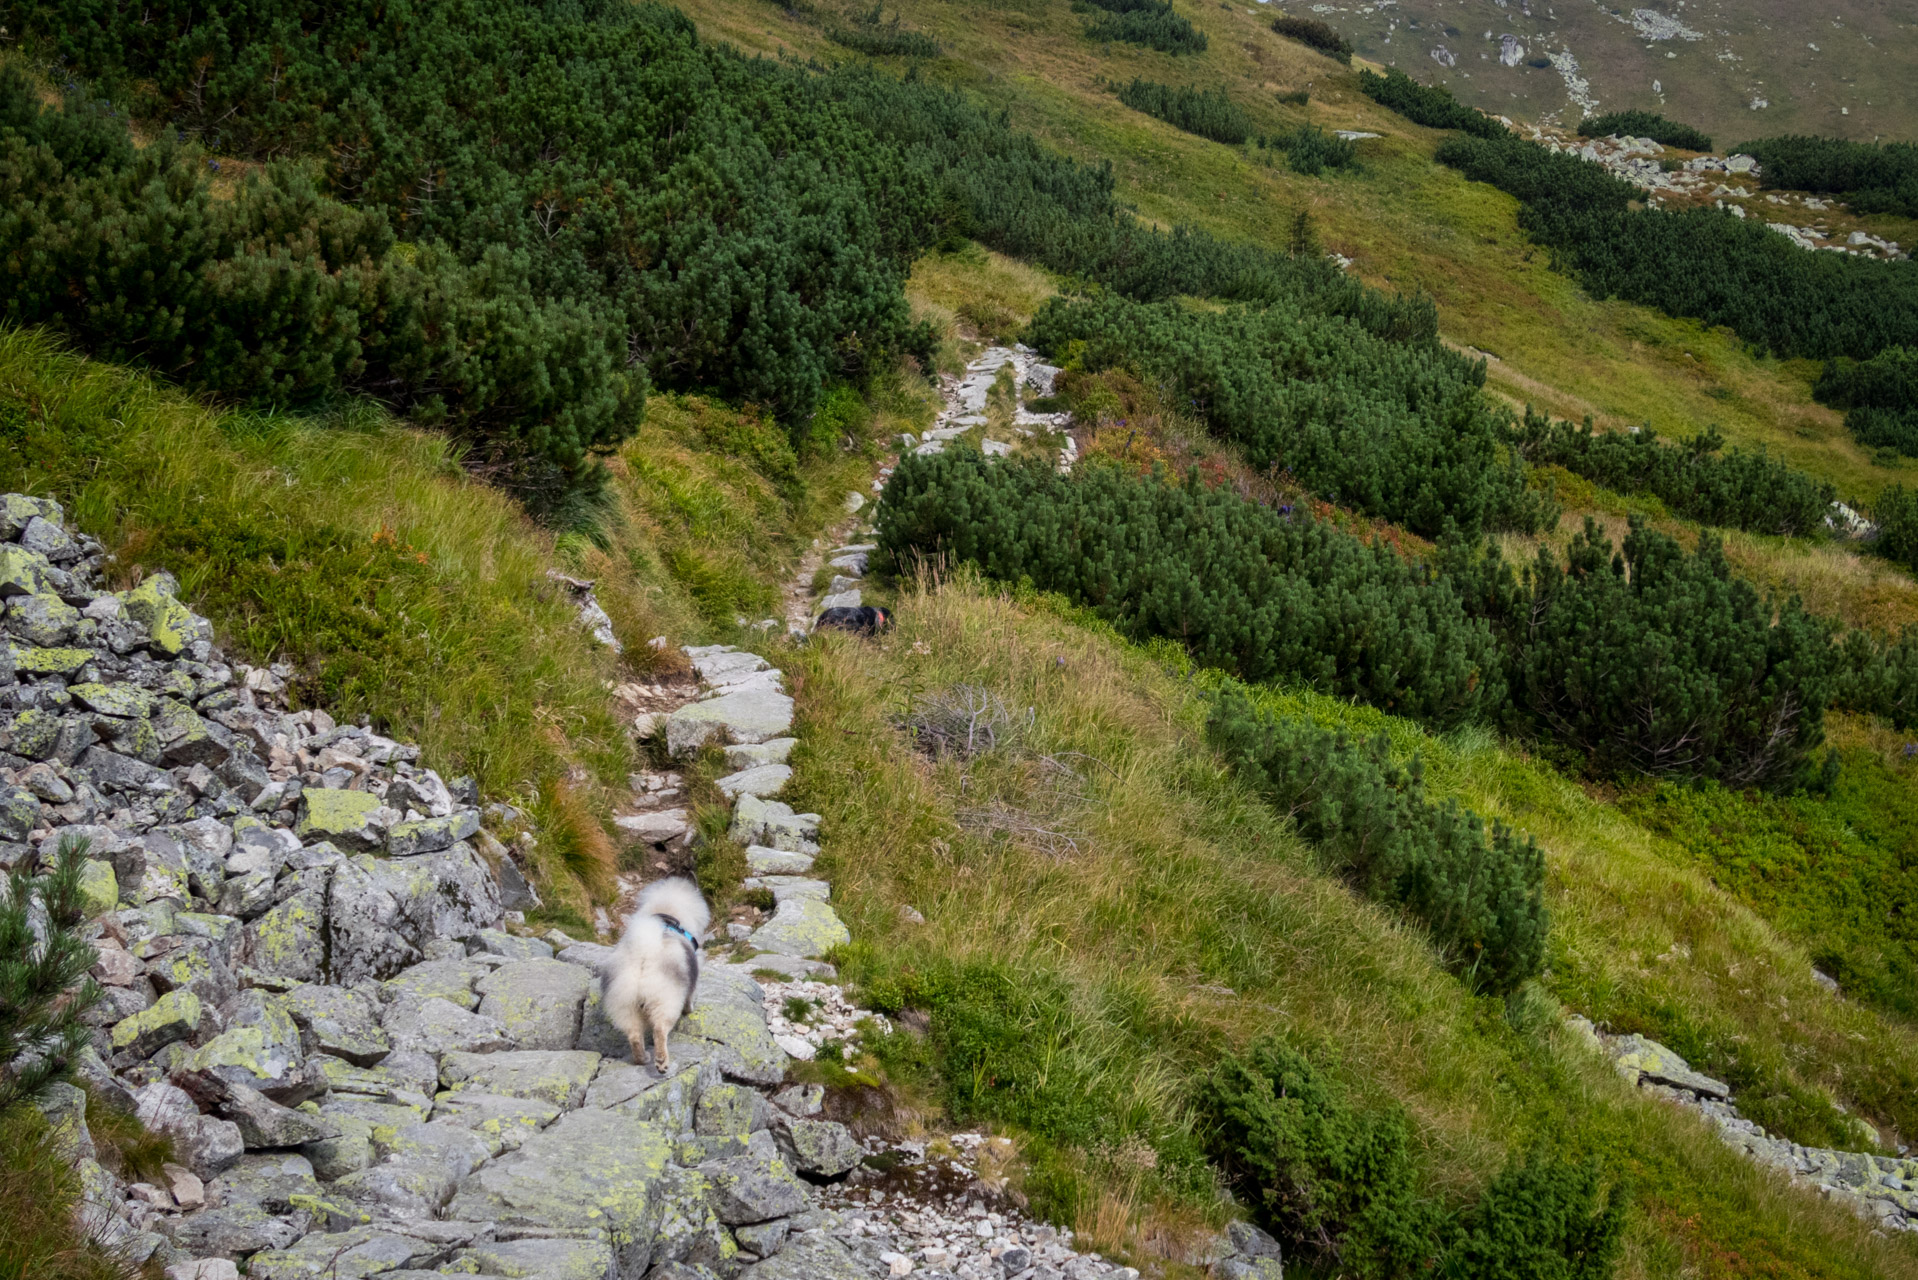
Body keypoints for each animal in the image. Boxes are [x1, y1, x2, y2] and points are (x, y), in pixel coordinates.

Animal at [598, 882, 713, 1074]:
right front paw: (690, 1010)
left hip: (625, 1005)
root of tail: (643, 953)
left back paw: (642, 1059)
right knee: (659, 1031)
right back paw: (661, 1063)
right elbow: (690, 998)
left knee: (634, 1036)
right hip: (666, 1001)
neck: (667, 913)